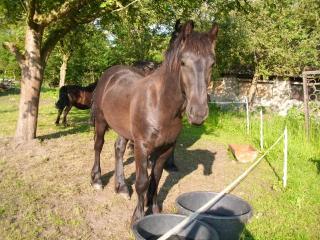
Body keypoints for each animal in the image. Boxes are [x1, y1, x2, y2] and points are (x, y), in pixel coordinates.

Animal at [91, 19, 219, 224]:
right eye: (183, 62)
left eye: (212, 63)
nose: (198, 113)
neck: (160, 105)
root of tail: (110, 74)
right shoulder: (142, 147)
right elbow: (142, 182)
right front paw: (138, 216)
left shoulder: (166, 148)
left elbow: (156, 178)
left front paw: (155, 209)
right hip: (101, 122)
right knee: (98, 146)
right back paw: (96, 180)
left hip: (123, 129)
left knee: (118, 149)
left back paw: (121, 187)